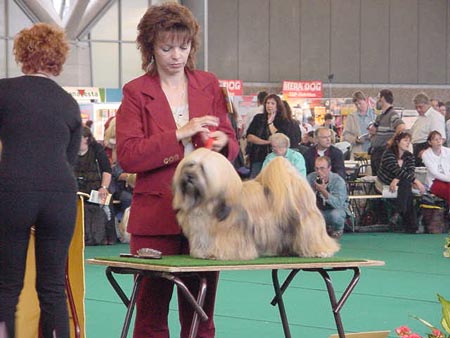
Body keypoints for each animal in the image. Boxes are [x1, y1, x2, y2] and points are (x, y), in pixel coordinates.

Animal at [173, 147, 342, 258]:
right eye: (190, 165)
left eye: (202, 168)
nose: (189, 176)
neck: (204, 202)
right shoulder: (201, 229)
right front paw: (204, 253)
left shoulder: (231, 232)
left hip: (306, 224)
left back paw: (321, 250)